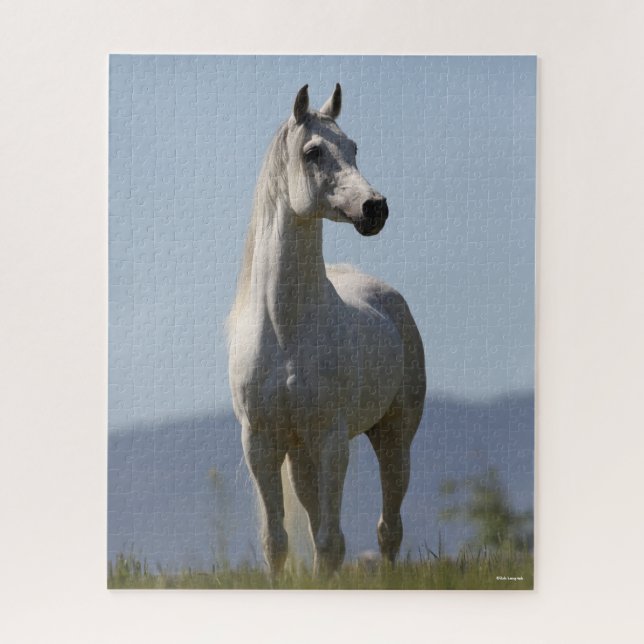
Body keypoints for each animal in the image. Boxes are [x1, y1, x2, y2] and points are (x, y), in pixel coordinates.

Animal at [227, 84, 426, 575]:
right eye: (313, 151)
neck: (285, 330)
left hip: (395, 438)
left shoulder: (332, 441)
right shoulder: (260, 443)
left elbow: (331, 542)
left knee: (389, 529)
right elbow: (277, 540)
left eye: (353, 148)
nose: (375, 208)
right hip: (301, 454)